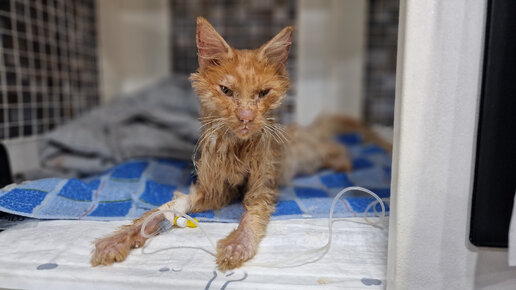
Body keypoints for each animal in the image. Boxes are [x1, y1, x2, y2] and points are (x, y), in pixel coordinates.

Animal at [91, 16, 392, 270]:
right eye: (226, 91)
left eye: (263, 93)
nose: (246, 116)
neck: (236, 147)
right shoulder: (214, 190)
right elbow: (159, 211)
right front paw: (116, 241)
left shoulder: (262, 185)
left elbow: (251, 215)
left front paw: (237, 244)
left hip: (309, 155)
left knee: (334, 146)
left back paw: (345, 161)